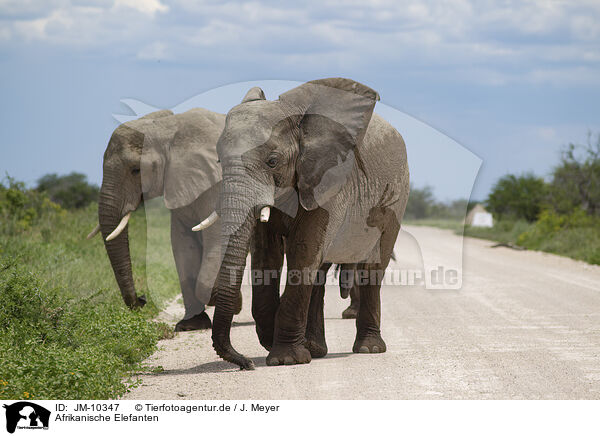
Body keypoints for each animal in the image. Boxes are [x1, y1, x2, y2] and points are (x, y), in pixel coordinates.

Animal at [195, 77, 410, 368]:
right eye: (219, 160)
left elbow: (303, 250)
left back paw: (369, 349)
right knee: (319, 271)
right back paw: (316, 348)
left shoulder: (328, 181)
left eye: (272, 161)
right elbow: (266, 254)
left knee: (373, 267)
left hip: (396, 199)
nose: (245, 364)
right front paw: (274, 342)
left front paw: (286, 359)